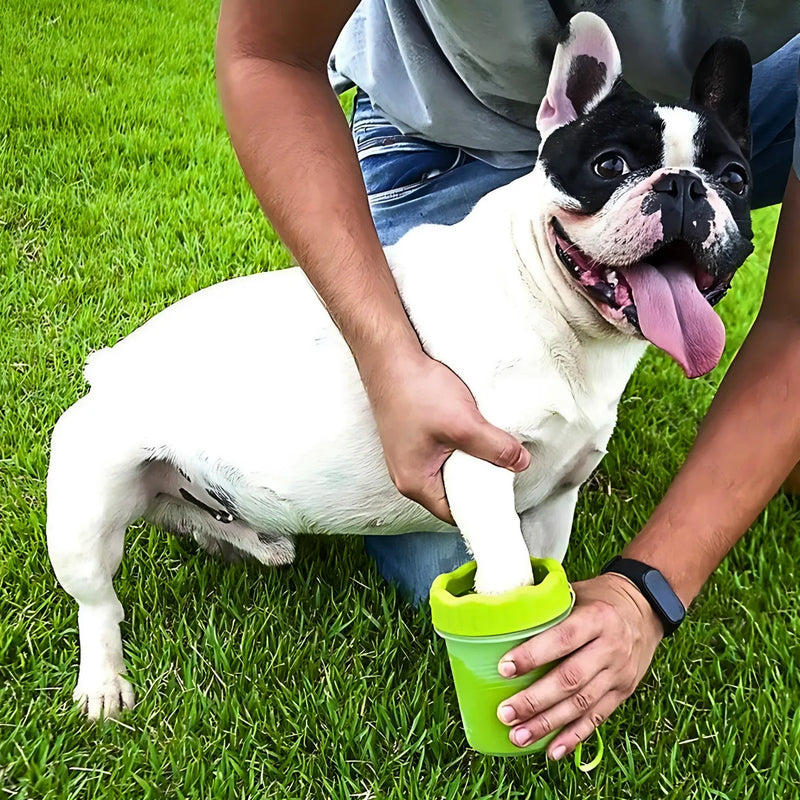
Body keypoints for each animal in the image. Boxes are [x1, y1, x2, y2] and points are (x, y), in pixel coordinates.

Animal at [48, 12, 752, 720]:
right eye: (611, 165)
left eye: (736, 180)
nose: (685, 186)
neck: (552, 307)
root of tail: (108, 365)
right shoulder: (478, 468)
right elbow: (508, 577)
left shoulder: (557, 496)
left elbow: (547, 578)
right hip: (85, 507)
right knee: (98, 603)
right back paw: (102, 682)